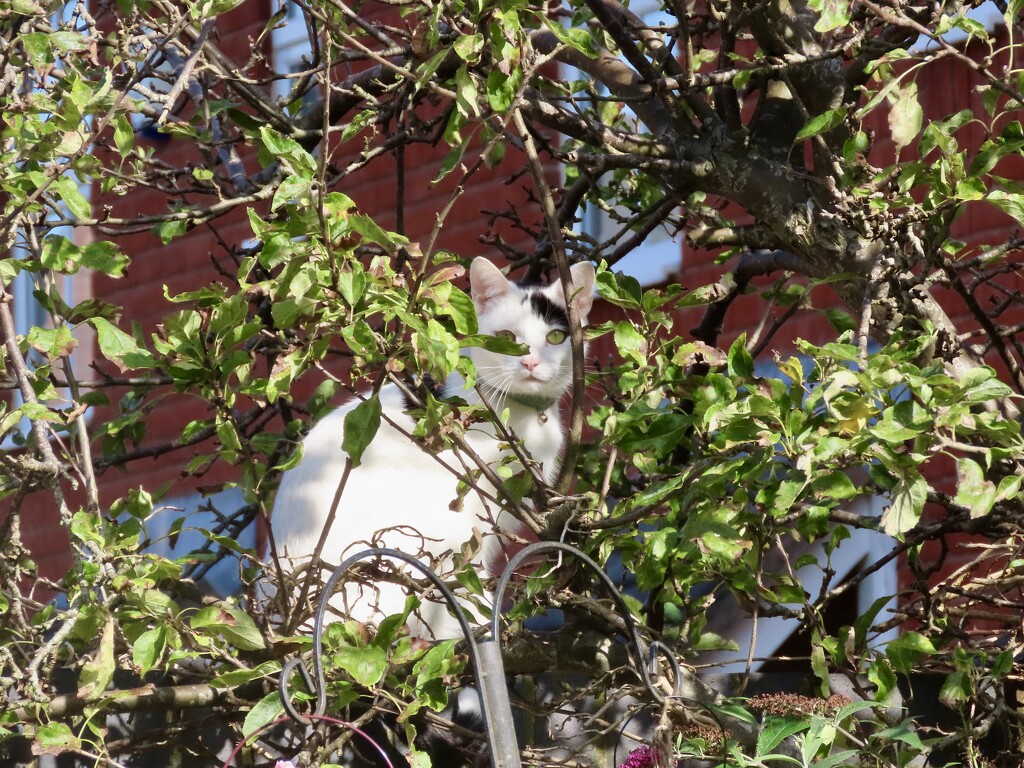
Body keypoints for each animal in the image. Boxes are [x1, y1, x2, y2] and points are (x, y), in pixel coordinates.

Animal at [268, 259, 598, 638]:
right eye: (506, 339)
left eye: (555, 337)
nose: (530, 363)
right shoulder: (478, 511)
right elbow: (470, 578)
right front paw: (482, 619)